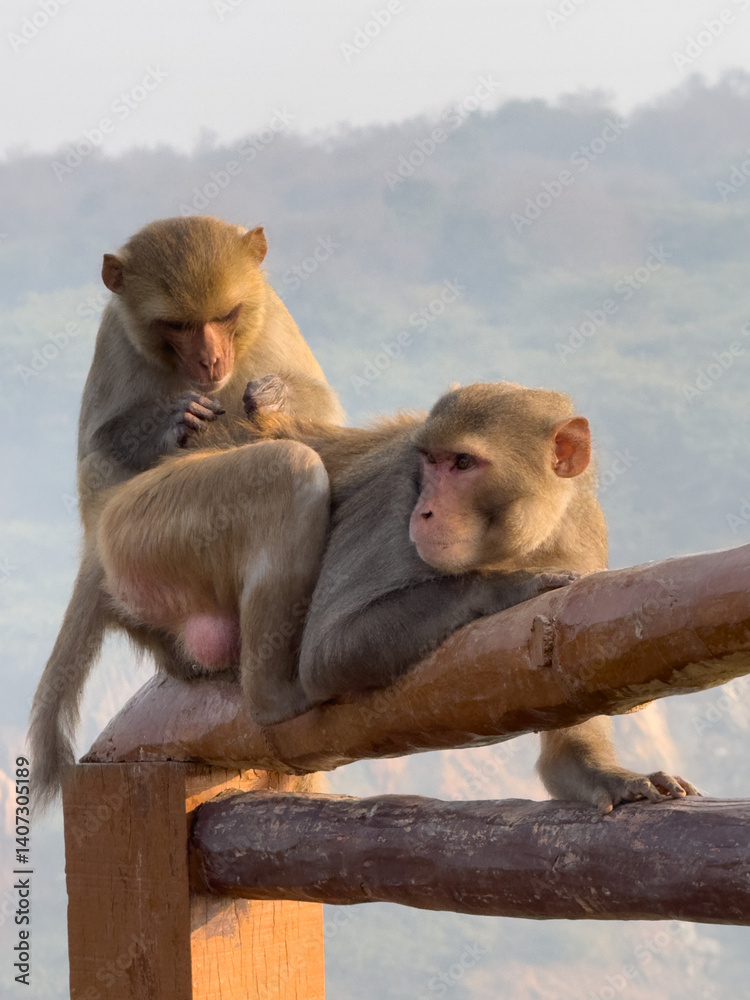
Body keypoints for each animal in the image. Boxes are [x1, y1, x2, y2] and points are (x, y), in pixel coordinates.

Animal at [29, 215, 343, 810]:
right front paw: (171, 421)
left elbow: (325, 414)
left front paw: (275, 397)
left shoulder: (270, 316)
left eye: (226, 315)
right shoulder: (115, 342)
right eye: (177, 325)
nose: (212, 361)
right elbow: (96, 456)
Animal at [94, 380, 697, 813]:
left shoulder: (584, 539)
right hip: (145, 527)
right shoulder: (393, 508)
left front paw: (597, 773)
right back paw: (275, 695)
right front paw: (506, 586)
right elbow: (328, 651)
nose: (426, 511)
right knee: (287, 472)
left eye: (462, 463)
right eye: (428, 460)